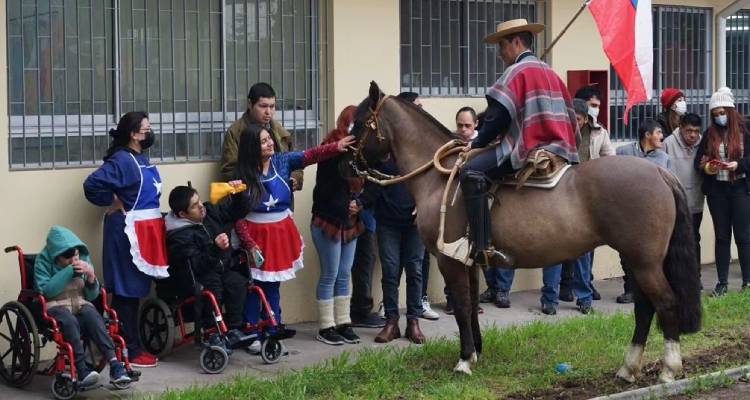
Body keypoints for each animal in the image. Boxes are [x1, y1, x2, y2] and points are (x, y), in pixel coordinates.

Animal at [350, 80, 704, 382]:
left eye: (359, 122)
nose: (347, 163)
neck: (438, 177)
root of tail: (659, 172)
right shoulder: (470, 262)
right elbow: (471, 307)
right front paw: (476, 351)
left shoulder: (449, 260)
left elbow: (462, 307)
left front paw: (464, 360)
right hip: (636, 260)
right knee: (644, 309)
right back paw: (628, 368)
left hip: (644, 262)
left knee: (665, 303)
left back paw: (668, 369)